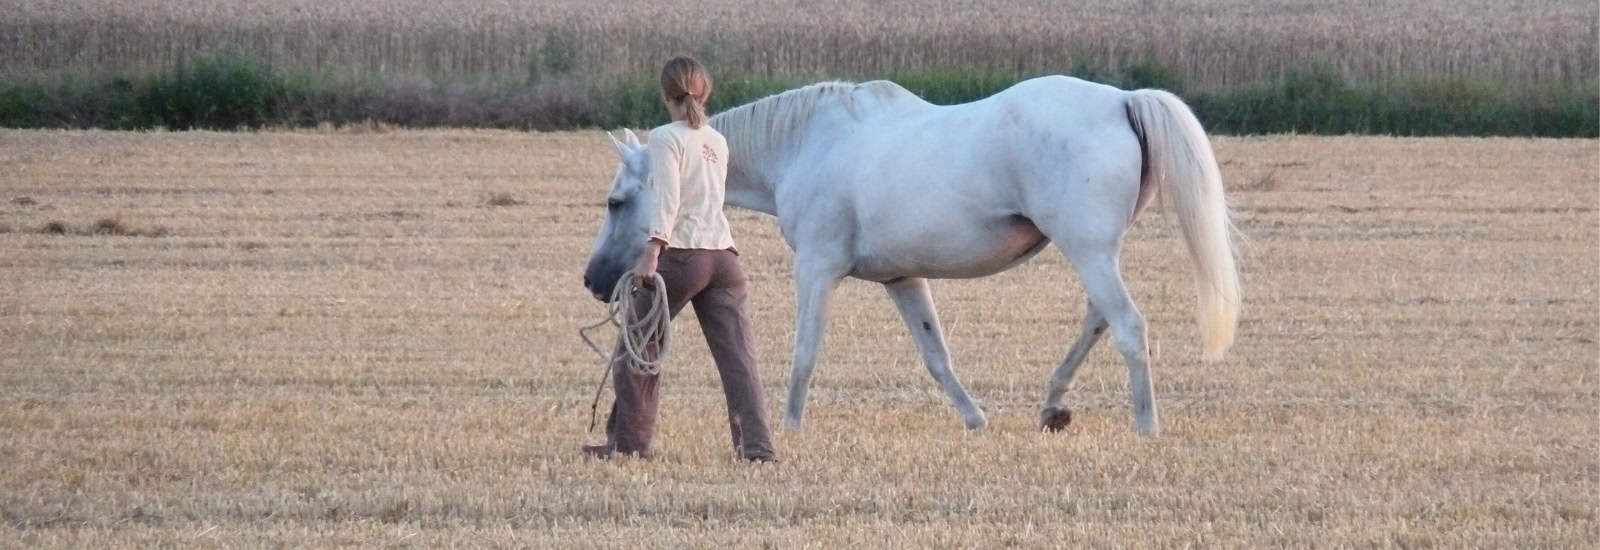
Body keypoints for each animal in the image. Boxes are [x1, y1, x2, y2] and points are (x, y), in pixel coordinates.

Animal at [582, 75, 1239, 436]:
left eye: (616, 202)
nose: (594, 279)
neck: (806, 143)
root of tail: (1123, 101)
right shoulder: (903, 279)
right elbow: (936, 356)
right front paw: (975, 421)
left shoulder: (816, 268)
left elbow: (804, 352)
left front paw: (791, 427)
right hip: (1097, 254)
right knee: (1100, 320)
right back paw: (1053, 405)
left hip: (1090, 251)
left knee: (1128, 325)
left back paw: (1145, 424)